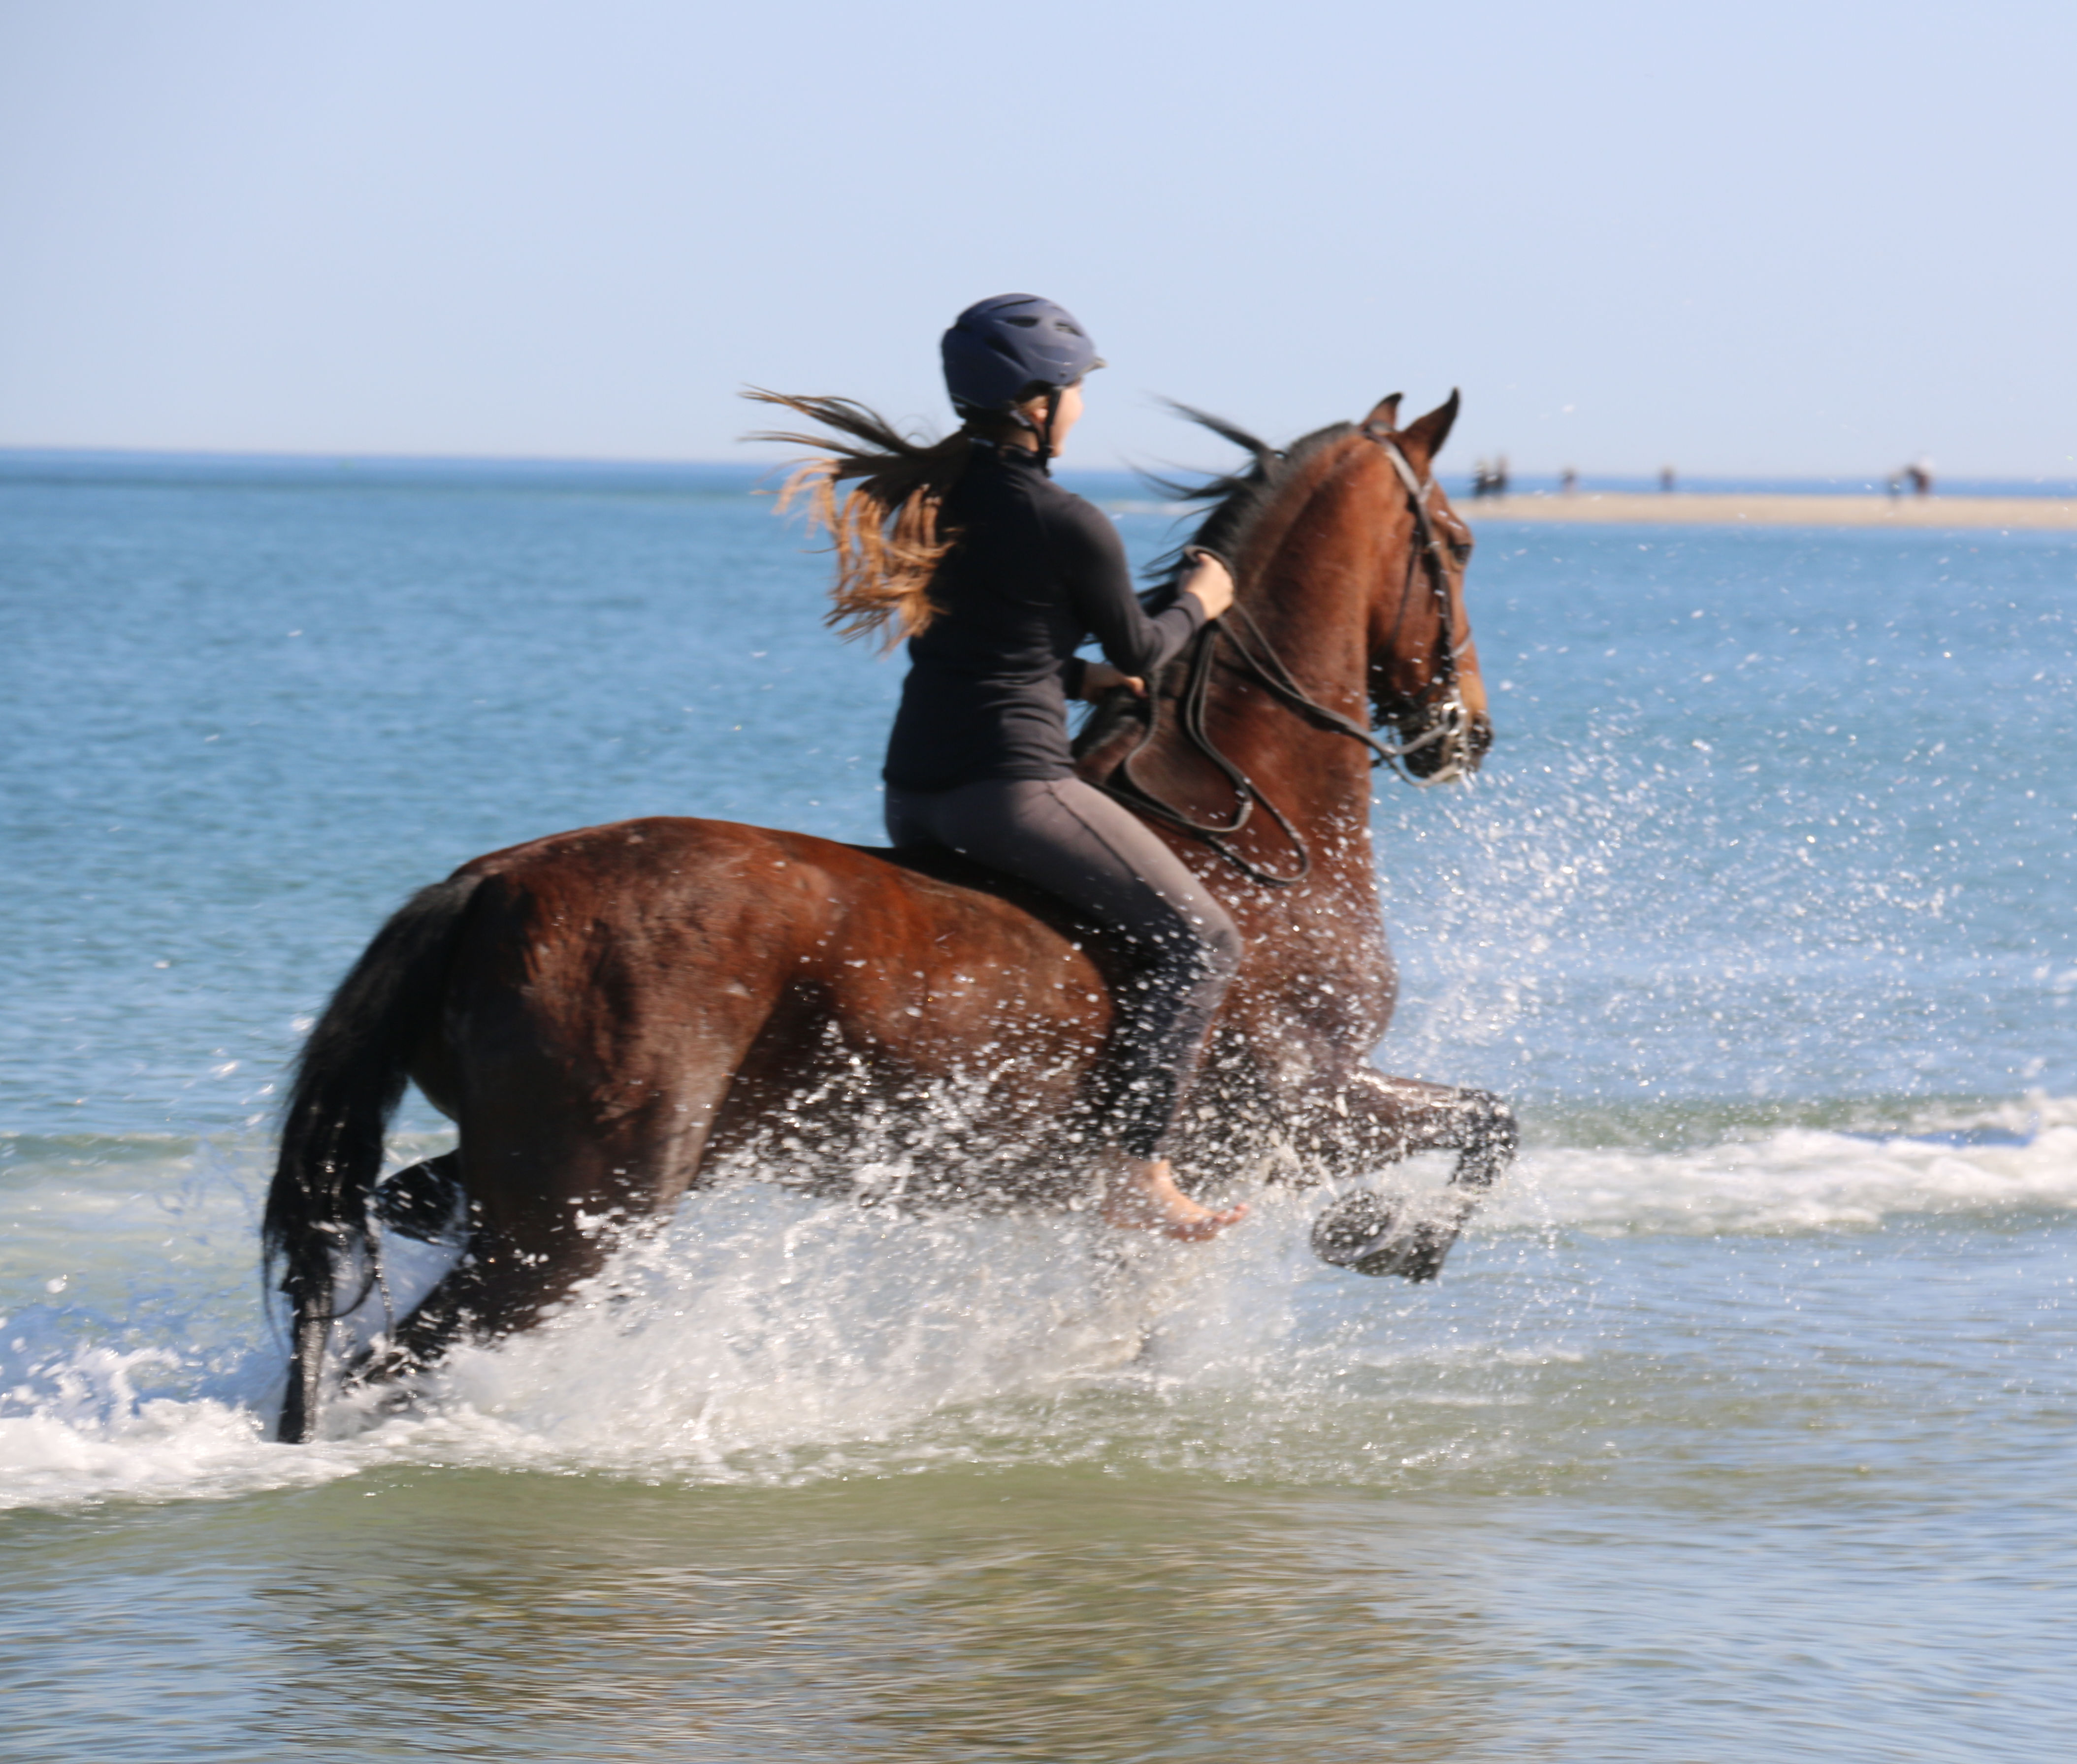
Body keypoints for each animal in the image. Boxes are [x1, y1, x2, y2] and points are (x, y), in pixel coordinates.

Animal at [268, 388, 1520, 1446]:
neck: (1246, 823)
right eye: (1458, 542)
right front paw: (1386, 1240)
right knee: (402, 1359)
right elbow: (1491, 1122)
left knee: (401, 1237)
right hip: (581, 1206)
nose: (1465, 731)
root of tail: (486, 884)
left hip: (542, 1179)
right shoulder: (1301, 1104)